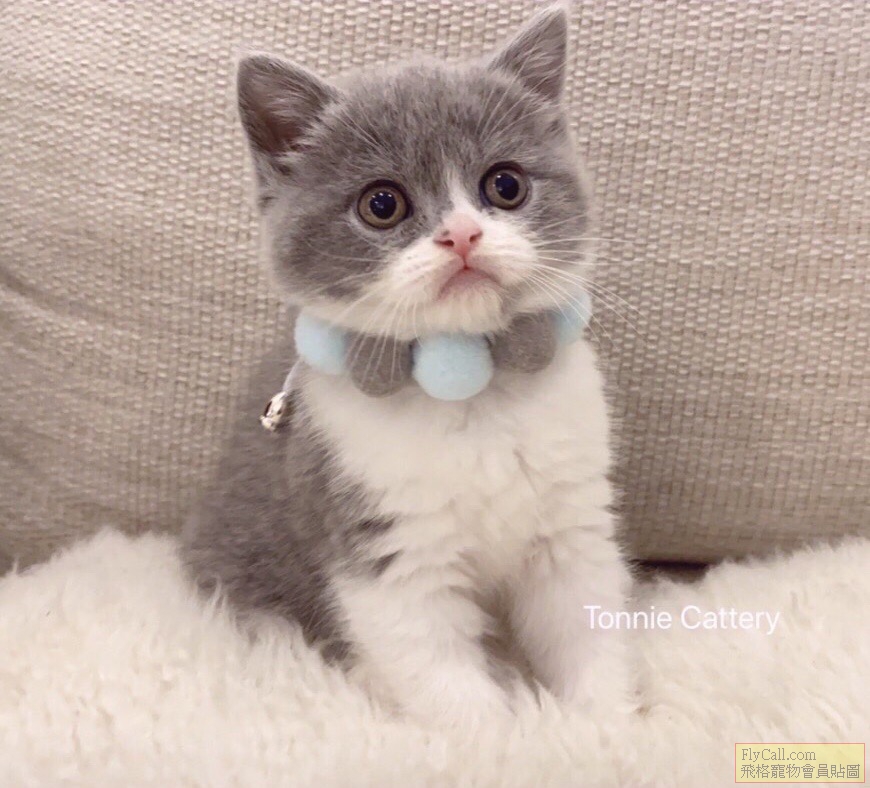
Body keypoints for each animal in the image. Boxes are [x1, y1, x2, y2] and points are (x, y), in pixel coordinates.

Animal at [183, 5, 633, 727]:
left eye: (505, 185)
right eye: (382, 203)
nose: (462, 234)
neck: (470, 387)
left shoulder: (572, 521)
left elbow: (585, 621)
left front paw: (605, 724)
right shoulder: (383, 540)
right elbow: (435, 665)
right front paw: (506, 736)